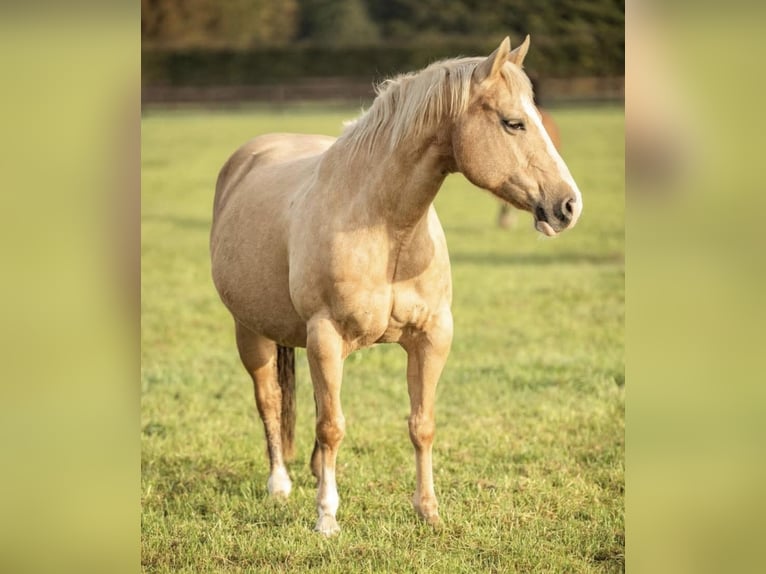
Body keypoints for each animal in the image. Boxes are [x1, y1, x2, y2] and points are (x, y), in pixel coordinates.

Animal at [210, 35, 582, 536]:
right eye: (513, 123)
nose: (568, 206)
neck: (387, 228)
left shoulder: (431, 336)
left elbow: (420, 423)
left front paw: (428, 510)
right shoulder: (325, 335)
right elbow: (331, 426)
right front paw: (326, 518)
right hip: (251, 331)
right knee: (270, 400)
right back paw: (280, 484)